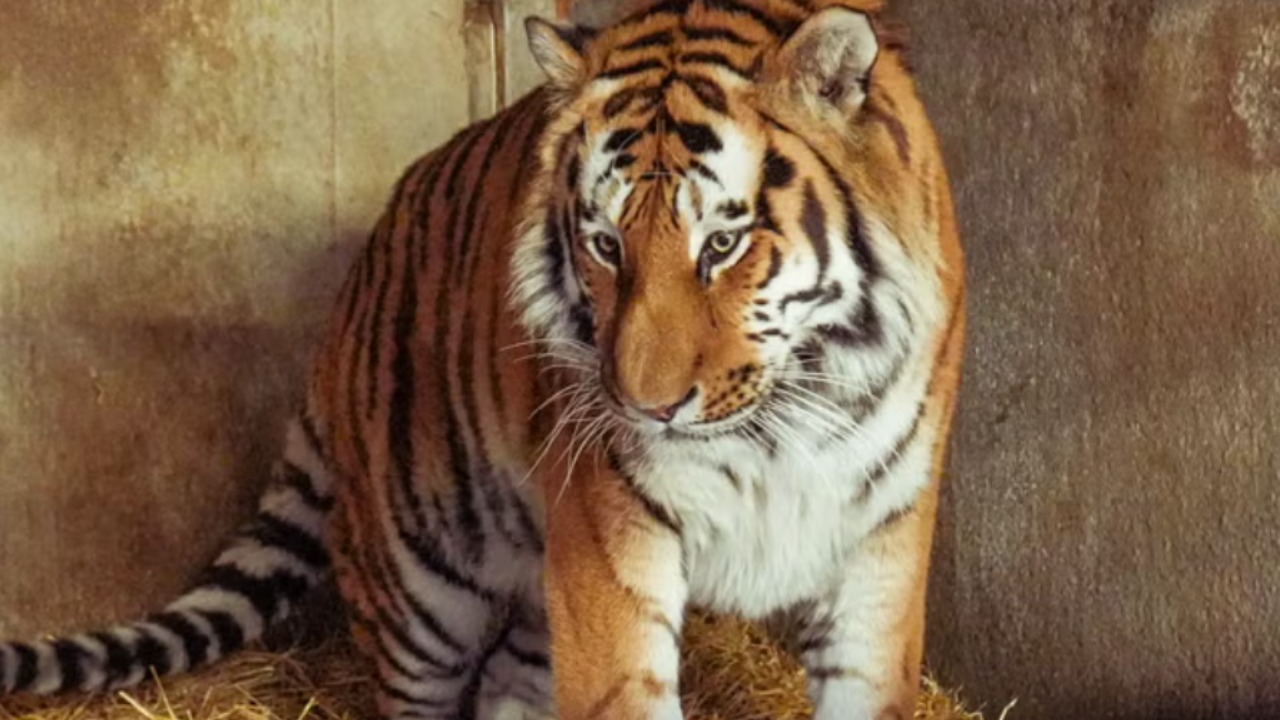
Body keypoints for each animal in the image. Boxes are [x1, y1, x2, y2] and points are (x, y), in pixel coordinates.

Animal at [0, 0, 965, 718]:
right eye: (605, 245)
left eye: (723, 244)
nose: (646, 408)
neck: (781, 425)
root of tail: (350, 295)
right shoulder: (609, 549)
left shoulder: (880, 541)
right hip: (419, 586)